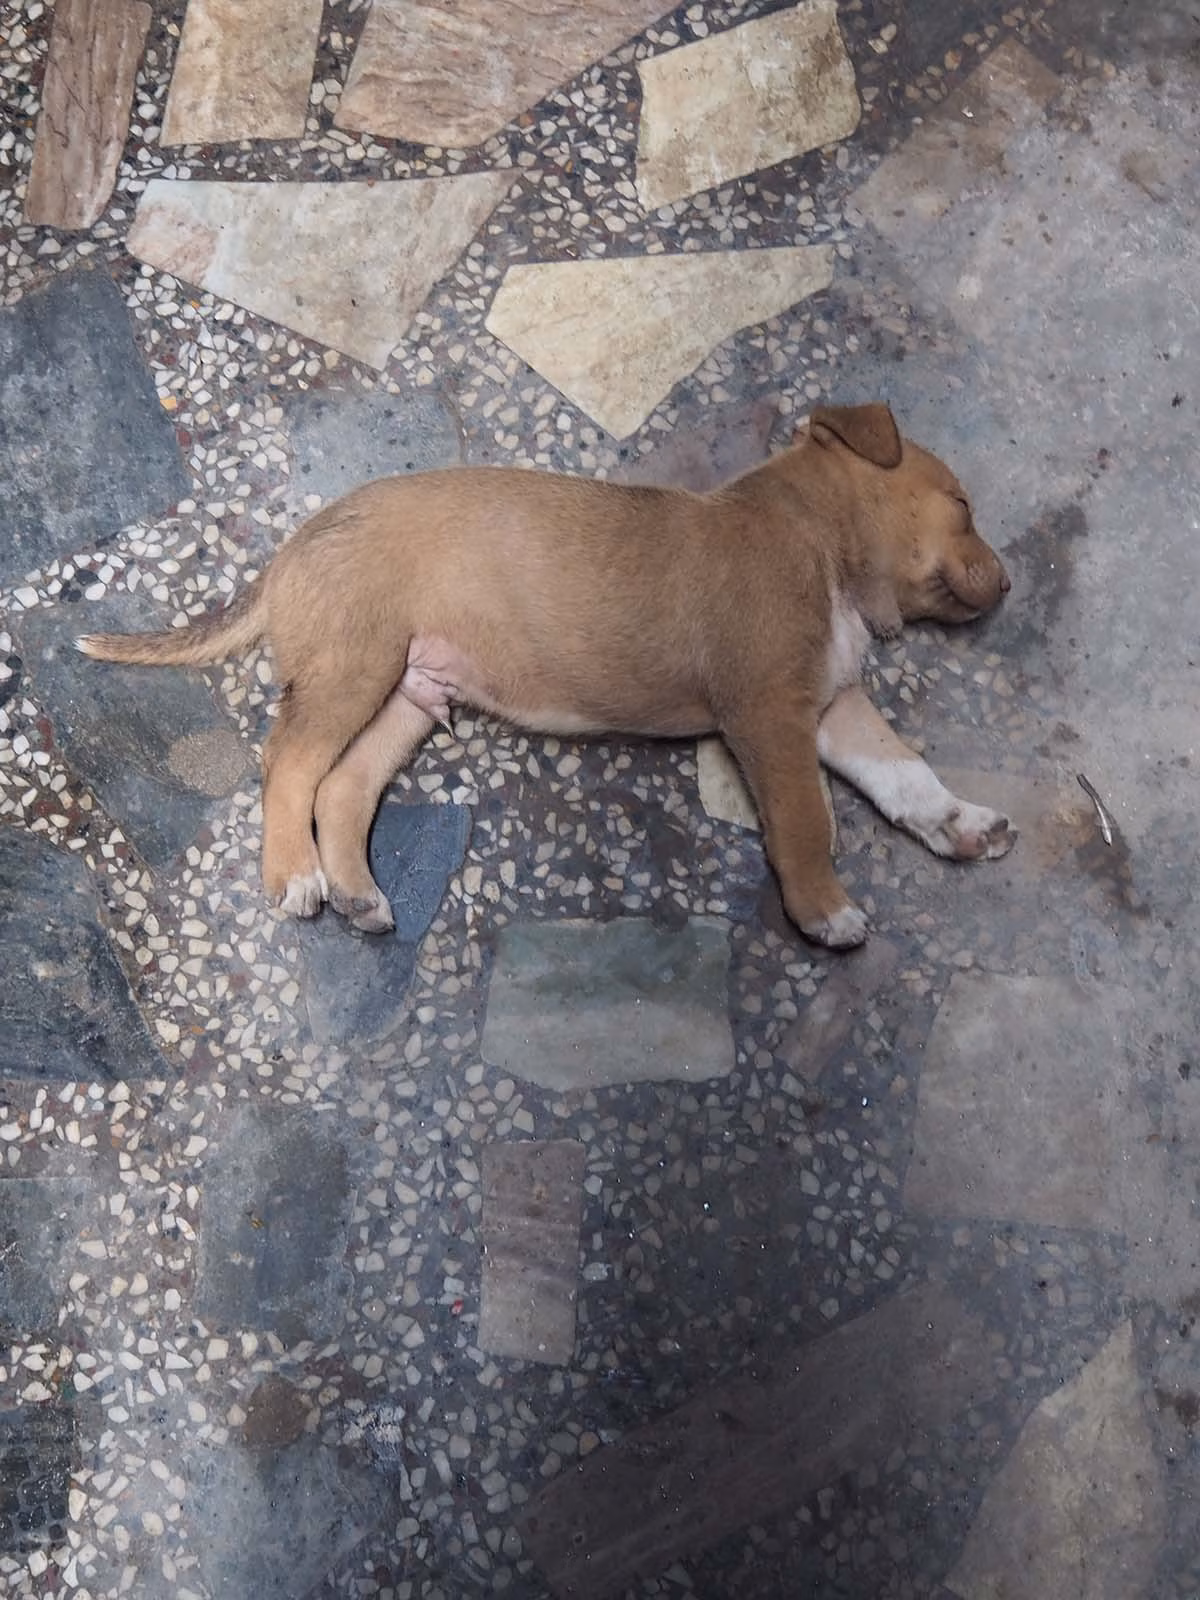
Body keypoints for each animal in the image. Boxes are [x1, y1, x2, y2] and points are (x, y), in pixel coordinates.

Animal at [79, 403, 1015, 949]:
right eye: (964, 506)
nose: (1009, 588)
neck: (817, 539)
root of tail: (291, 548)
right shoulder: (771, 714)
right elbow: (806, 821)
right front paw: (823, 910)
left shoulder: (832, 705)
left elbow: (905, 773)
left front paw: (961, 823)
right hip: (355, 667)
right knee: (290, 764)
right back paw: (296, 875)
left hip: (410, 690)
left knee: (341, 785)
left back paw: (358, 893)